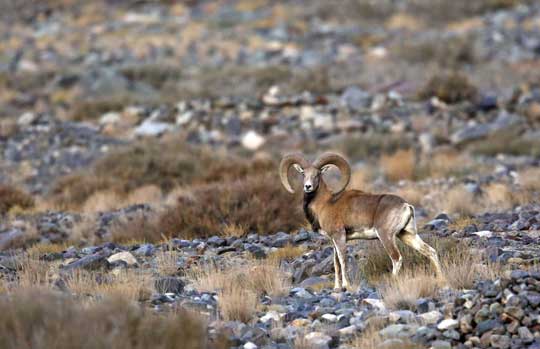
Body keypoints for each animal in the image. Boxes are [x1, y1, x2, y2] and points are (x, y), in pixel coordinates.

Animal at [280, 151, 440, 290]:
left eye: (317, 174)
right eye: (303, 173)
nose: (307, 186)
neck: (325, 203)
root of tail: (406, 206)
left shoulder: (339, 236)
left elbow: (343, 261)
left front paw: (346, 286)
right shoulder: (333, 241)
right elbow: (336, 263)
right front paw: (336, 288)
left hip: (386, 236)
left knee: (397, 258)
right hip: (407, 235)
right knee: (430, 251)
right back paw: (441, 278)